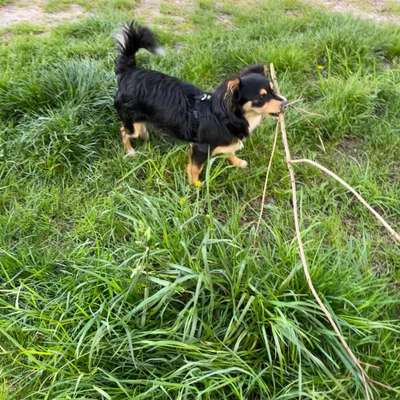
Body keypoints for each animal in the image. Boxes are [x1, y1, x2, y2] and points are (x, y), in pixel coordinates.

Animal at [113, 24, 288, 187]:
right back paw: (130, 151)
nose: (285, 104)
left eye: (273, 90)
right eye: (261, 97)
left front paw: (237, 162)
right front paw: (196, 186)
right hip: (130, 121)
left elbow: (230, 152)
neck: (228, 118)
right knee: (123, 130)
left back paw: (144, 134)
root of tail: (130, 71)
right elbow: (195, 168)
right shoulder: (201, 148)